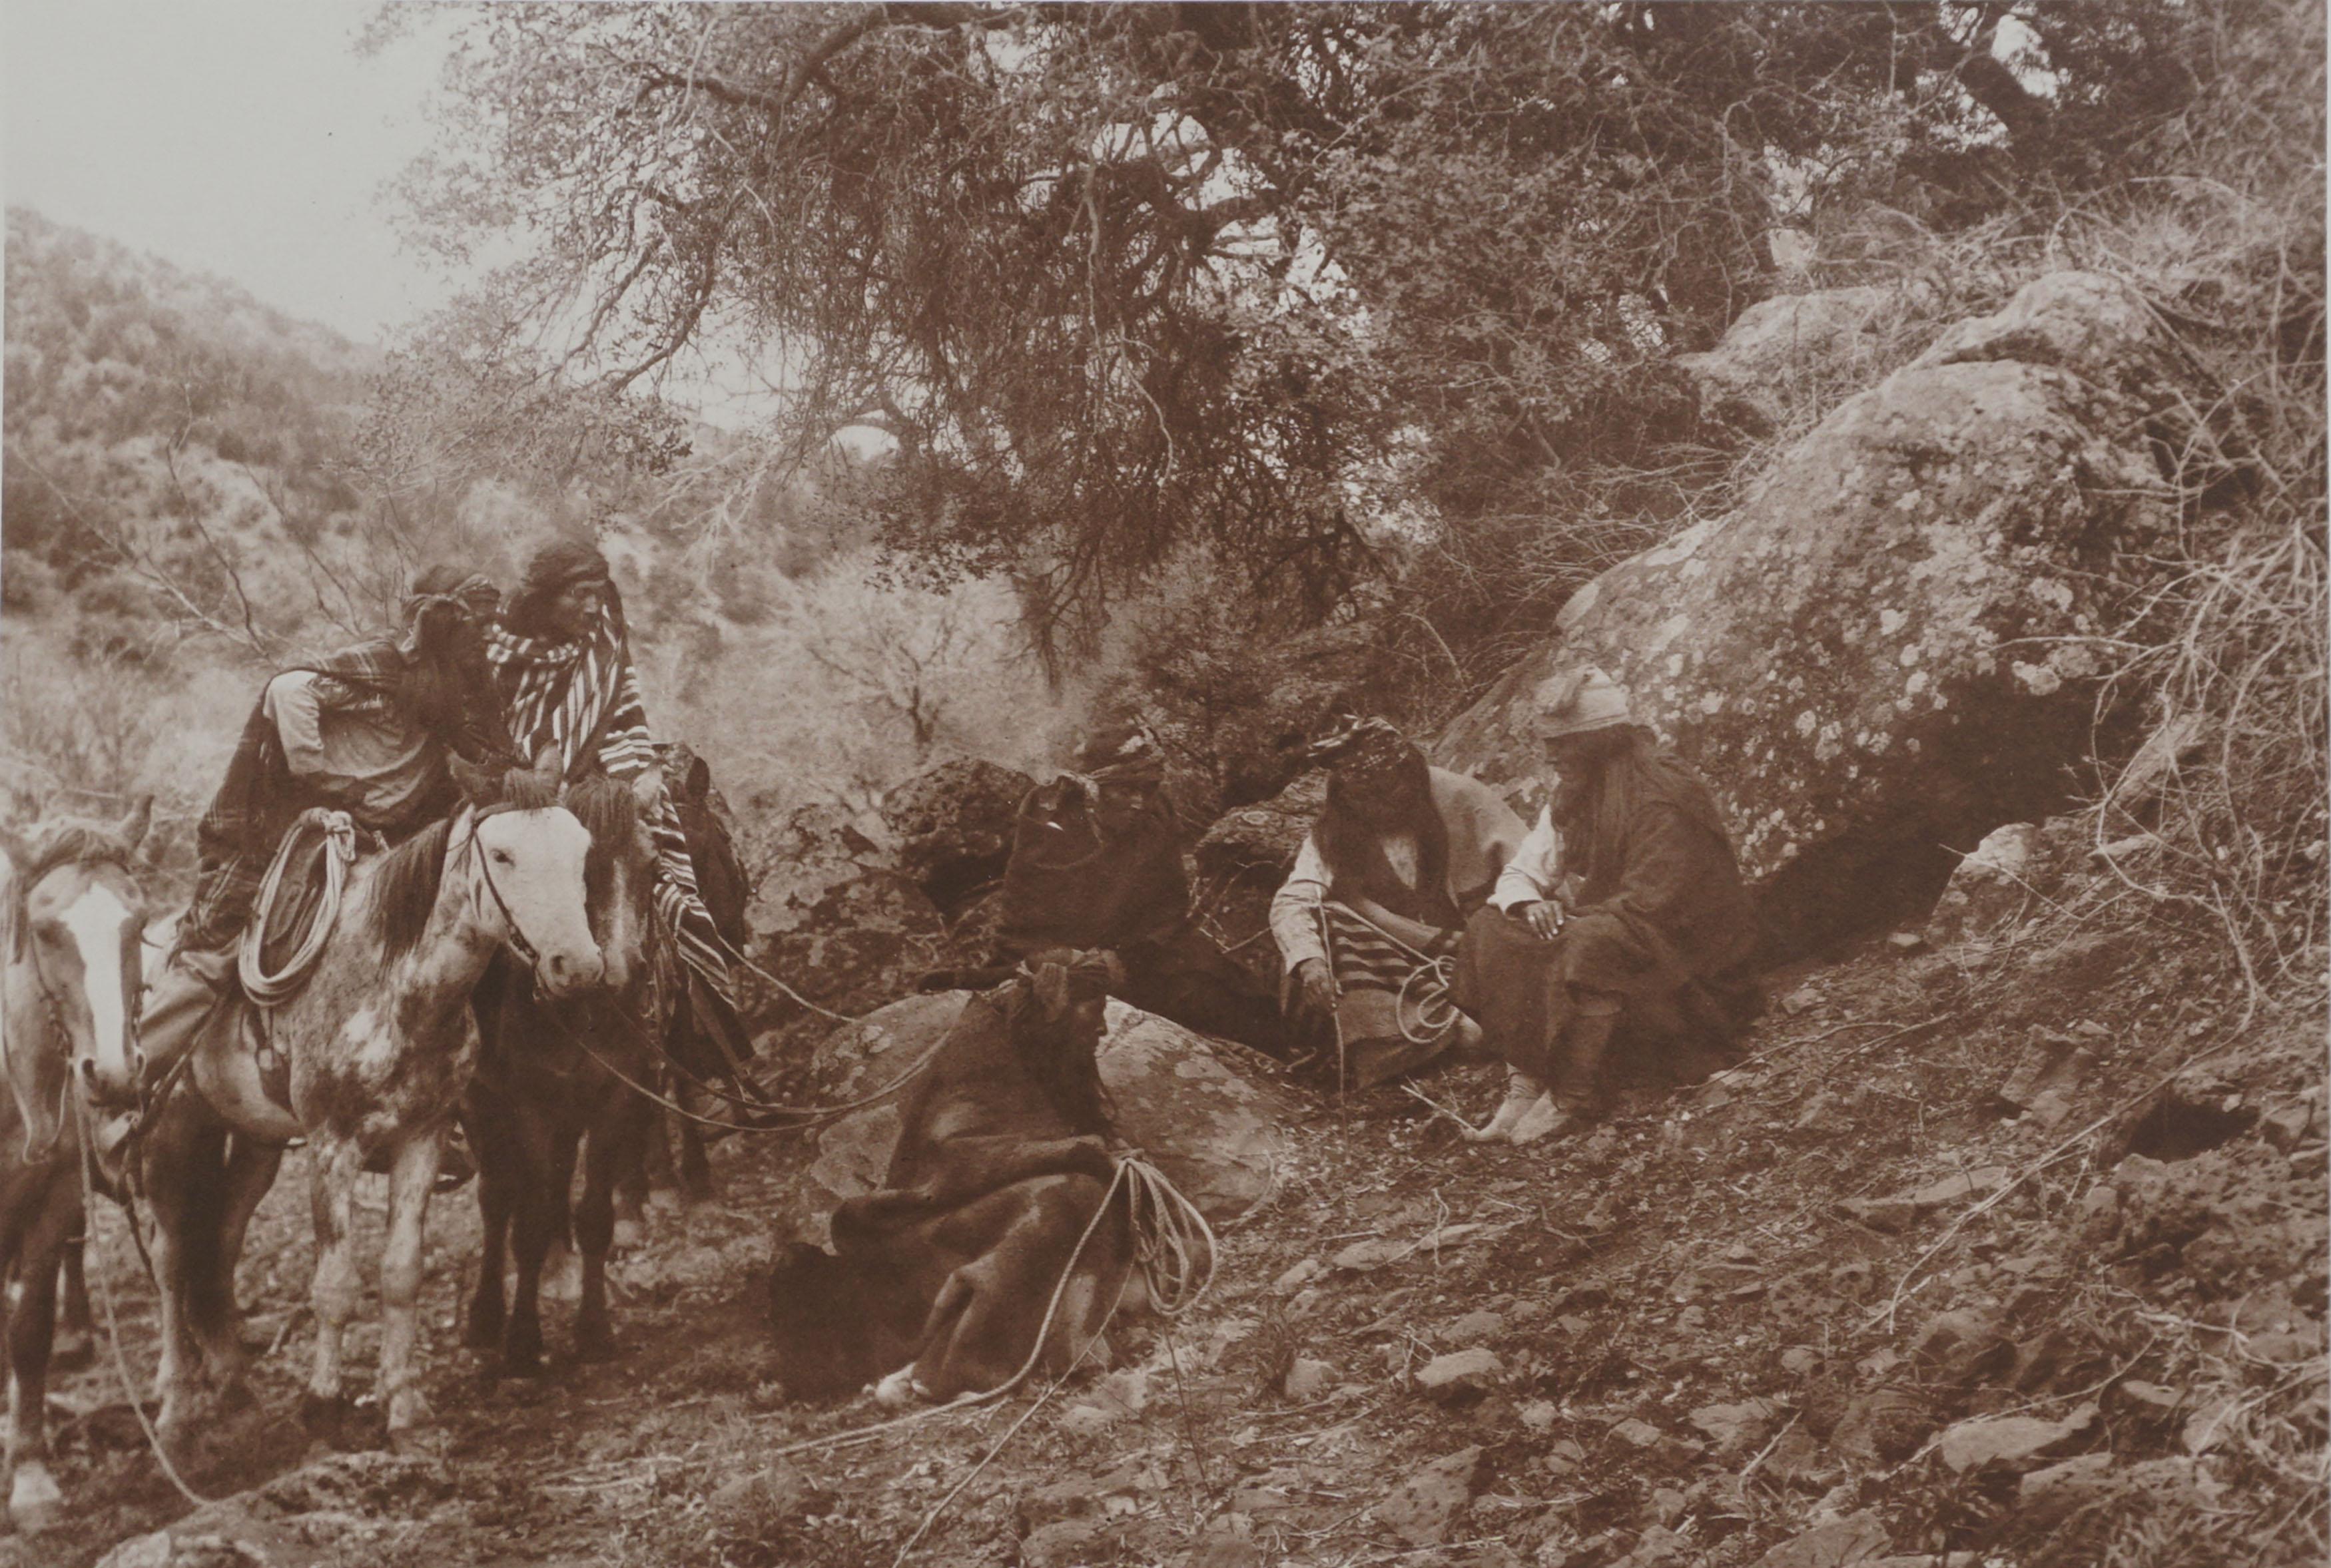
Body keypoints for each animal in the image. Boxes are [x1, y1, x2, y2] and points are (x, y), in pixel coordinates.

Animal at [141, 759, 606, 1453]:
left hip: (254, 1142)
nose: (578, 965)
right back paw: (174, 1410)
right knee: (171, 1261)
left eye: (581, 849)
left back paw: (237, 1393)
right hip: (171, 1135)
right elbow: (335, 1285)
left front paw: (406, 1406)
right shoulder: (333, 1145)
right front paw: (323, 1408)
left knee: (218, 1247)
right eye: (502, 854)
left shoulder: (423, 1137)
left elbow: (400, 1273)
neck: (392, 983)